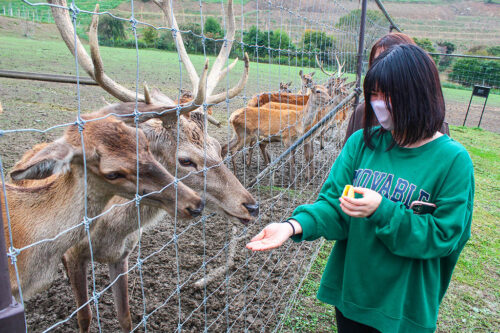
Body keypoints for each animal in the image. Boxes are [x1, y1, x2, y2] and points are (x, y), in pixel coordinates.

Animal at [49, 1, 258, 330]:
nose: (251, 206)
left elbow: (125, 317)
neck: (107, 233)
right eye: (185, 160)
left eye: (217, 147)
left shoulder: (123, 255)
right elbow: (84, 317)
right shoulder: (73, 255)